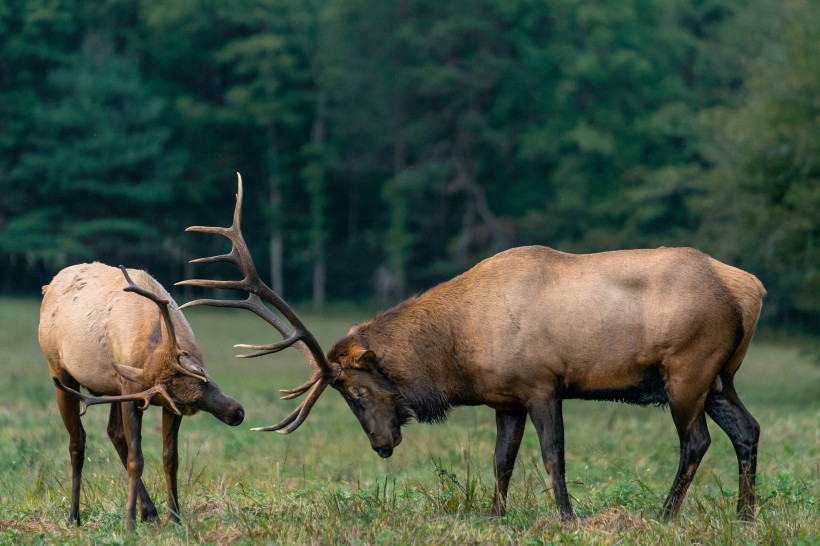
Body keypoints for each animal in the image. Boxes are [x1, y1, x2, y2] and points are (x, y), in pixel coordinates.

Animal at [39, 262, 243, 528]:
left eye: (201, 371)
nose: (236, 412)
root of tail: (47, 286)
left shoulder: (151, 397)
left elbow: (170, 458)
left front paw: (174, 517)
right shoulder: (132, 391)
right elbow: (137, 459)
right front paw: (130, 522)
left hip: (113, 388)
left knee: (114, 432)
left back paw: (150, 511)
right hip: (60, 372)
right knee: (77, 441)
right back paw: (74, 516)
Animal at [183, 176, 764, 520]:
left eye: (355, 392)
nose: (381, 445)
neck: (460, 352)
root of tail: (750, 290)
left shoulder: (542, 383)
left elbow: (553, 456)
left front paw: (567, 517)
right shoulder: (505, 399)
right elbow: (501, 461)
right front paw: (495, 515)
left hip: (686, 369)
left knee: (696, 442)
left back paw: (666, 515)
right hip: (720, 377)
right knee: (748, 429)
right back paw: (744, 514)